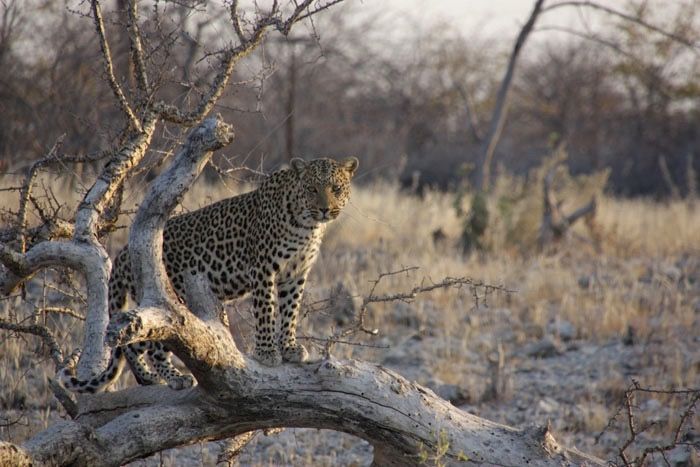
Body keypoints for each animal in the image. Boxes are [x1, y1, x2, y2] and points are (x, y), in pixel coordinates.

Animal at [59, 156, 359, 393]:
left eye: (336, 188)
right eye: (312, 189)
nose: (325, 208)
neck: (308, 226)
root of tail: (122, 254)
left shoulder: (295, 274)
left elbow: (290, 312)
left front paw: (290, 347)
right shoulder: (263, 269)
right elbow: (266, 311)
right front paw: (267, 353)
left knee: (134, 343)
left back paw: (148, 379)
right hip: (168, 300)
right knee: (154, 344)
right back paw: (173, 378)